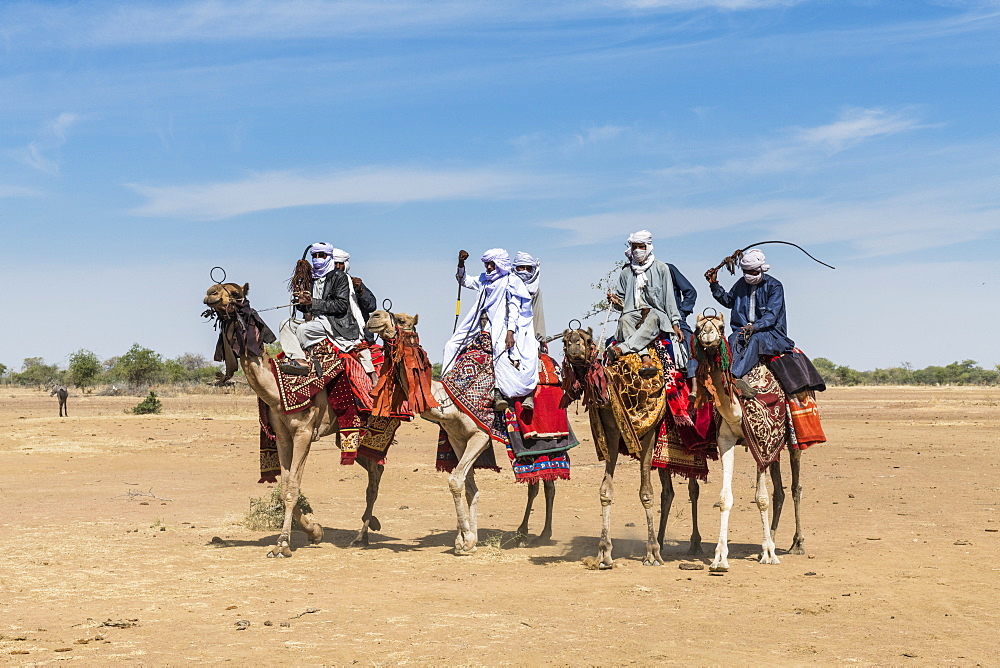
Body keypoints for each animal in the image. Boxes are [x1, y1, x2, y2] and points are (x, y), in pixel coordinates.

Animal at [201, 284, 384, 560]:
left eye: (236, 295)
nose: (210, 292)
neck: (278, 388)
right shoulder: (283, 435)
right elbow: (285, 485)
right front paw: (315, 531)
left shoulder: (304, 432)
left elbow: (292, 489)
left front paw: (283, 545)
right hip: (346, 435)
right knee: (375, 469)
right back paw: (368, 527)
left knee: (375, 475)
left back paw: (361, 536)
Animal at [692, 312, 800, 568]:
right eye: (698, 327)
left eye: (721, 326)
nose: (708, 335)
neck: (738, 408)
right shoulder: (726, 439)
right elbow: (725, 498)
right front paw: (720, 559)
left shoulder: (762, 442)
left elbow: (761, 498)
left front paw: (769, 554)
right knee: (780, 491)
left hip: (793, 442)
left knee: (795, 488)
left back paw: (796, 544)